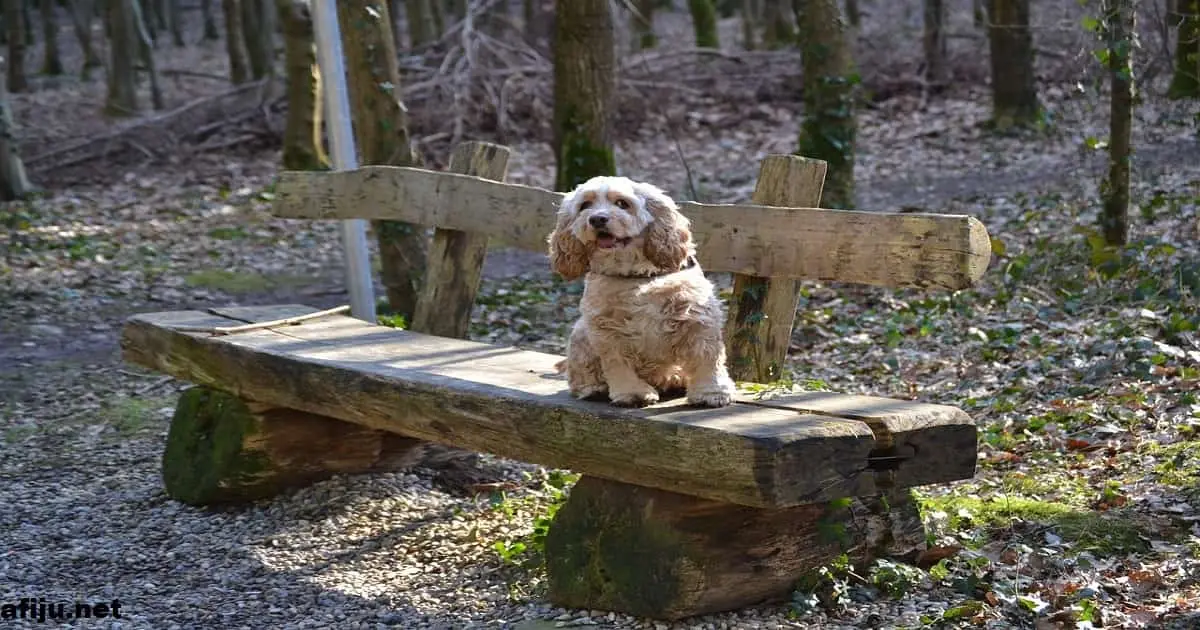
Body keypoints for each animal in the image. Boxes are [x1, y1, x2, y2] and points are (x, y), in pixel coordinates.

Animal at [549, 175, 734, 408]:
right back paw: (593, 388)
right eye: (585, 205)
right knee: (578, 373)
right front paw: (633, 393)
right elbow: (619, 365)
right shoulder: (607, 329)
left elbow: (707, 358)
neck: (635, 275)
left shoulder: (697, 317)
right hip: (580, 333)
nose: (597, 219)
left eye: (622, 203)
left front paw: (712, 392)